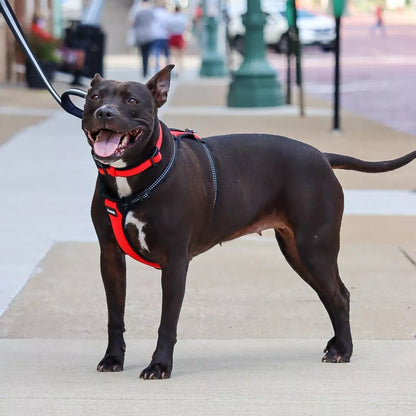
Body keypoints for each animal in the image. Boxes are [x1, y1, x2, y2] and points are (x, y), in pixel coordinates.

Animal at [82, 65, 416, 380]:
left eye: (132, 100)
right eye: (94, 97)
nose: (105, 112)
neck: (131, 178)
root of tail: (322, 156)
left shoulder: (175, 262)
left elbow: (167, 322)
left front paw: (160, 365)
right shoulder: (110, 258)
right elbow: (115, 315)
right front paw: (113, 359)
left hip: (315, 248)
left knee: (339, 295)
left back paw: (344, 350)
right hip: (298, 252)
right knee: (330, 294)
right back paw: (336, 345)